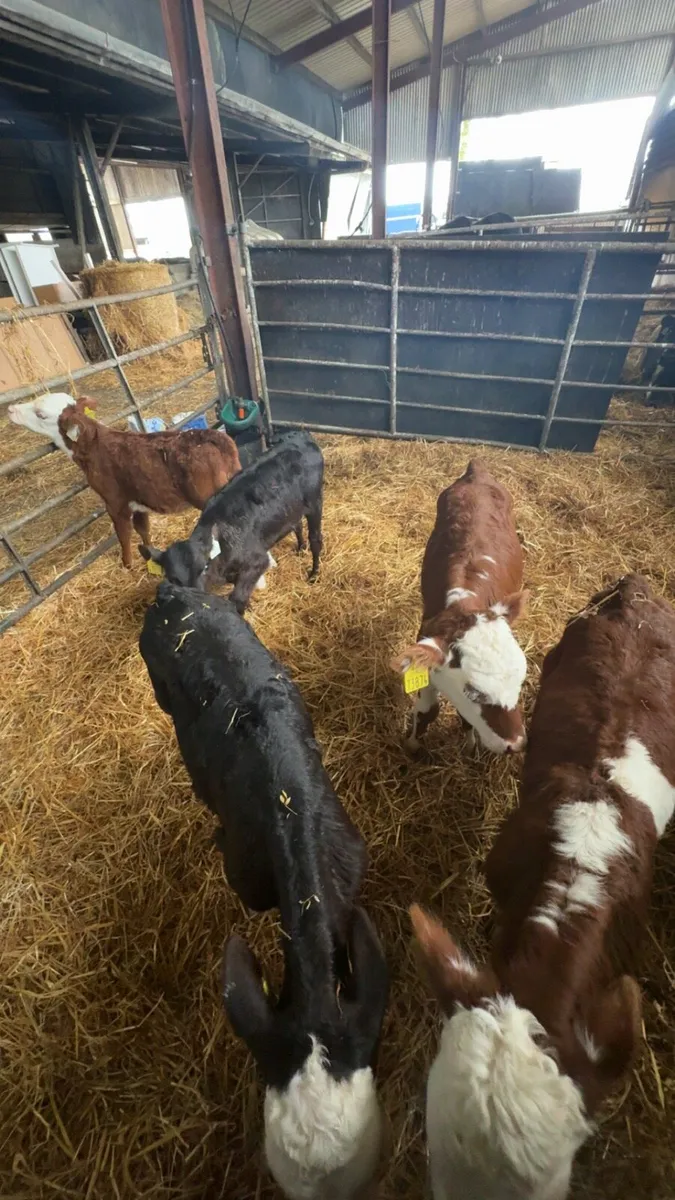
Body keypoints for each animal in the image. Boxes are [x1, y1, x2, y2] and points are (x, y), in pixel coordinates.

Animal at [392, 460, 528, 754]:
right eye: (475, 693)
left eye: (521, 679)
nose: (516, 744)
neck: (466, 601)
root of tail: (477, 469)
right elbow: (427, 711)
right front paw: (412, 745)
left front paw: (469, 741)